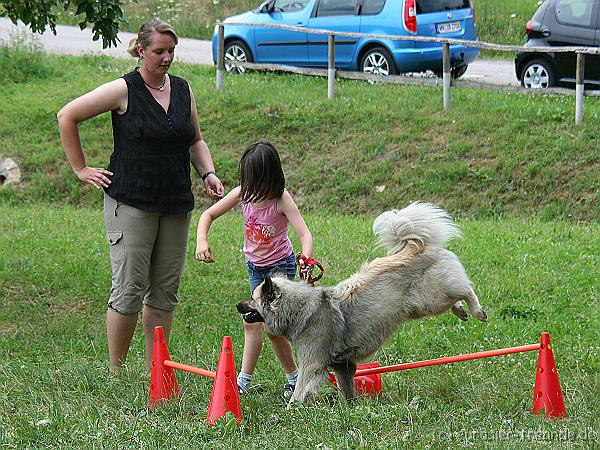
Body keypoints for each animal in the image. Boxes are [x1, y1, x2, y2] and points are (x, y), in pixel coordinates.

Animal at [248, 202, 488, 402]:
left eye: (252, 299)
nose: (240, 306)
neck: (299, 309)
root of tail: (414, 246)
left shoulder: (312, 362)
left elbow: (300, 388)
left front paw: (292, 408)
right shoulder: (342, 364)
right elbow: (346, 387)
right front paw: (350, 405)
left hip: (431, 298)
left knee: (464, 289)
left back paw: (477, 311)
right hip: (423, 306)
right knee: (455, 295)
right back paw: (460, 311)